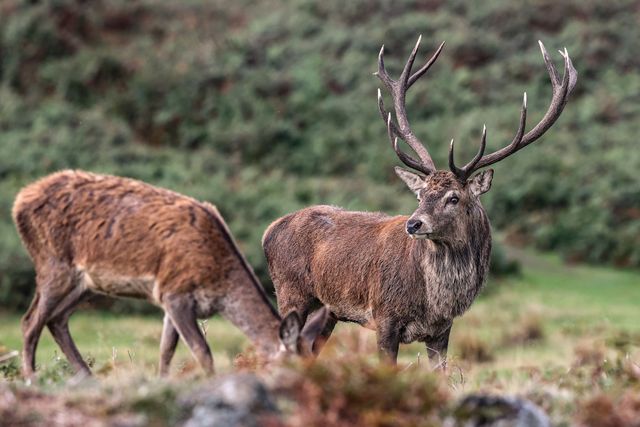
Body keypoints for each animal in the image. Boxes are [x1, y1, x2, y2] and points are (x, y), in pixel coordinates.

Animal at [12, 170, 329, 379]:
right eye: (293, 368)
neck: (218, 282)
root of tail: (19, 202)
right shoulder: (176, 292)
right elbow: (202, 351)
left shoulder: (168, 298)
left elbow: (166, 350)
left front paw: (161, 382)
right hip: (53, 263)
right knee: (30, 321)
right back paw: (31, 377)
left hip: (86, 283)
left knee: (56, 319)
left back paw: (87, 376)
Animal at [263, 37, 577, 368]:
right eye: (420, 195)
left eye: (454, 197)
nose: (414, 224)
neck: (433, 301)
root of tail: (269, 230)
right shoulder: (384, 317)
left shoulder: (442, 331)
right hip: (291, 293)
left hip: (329, 312)